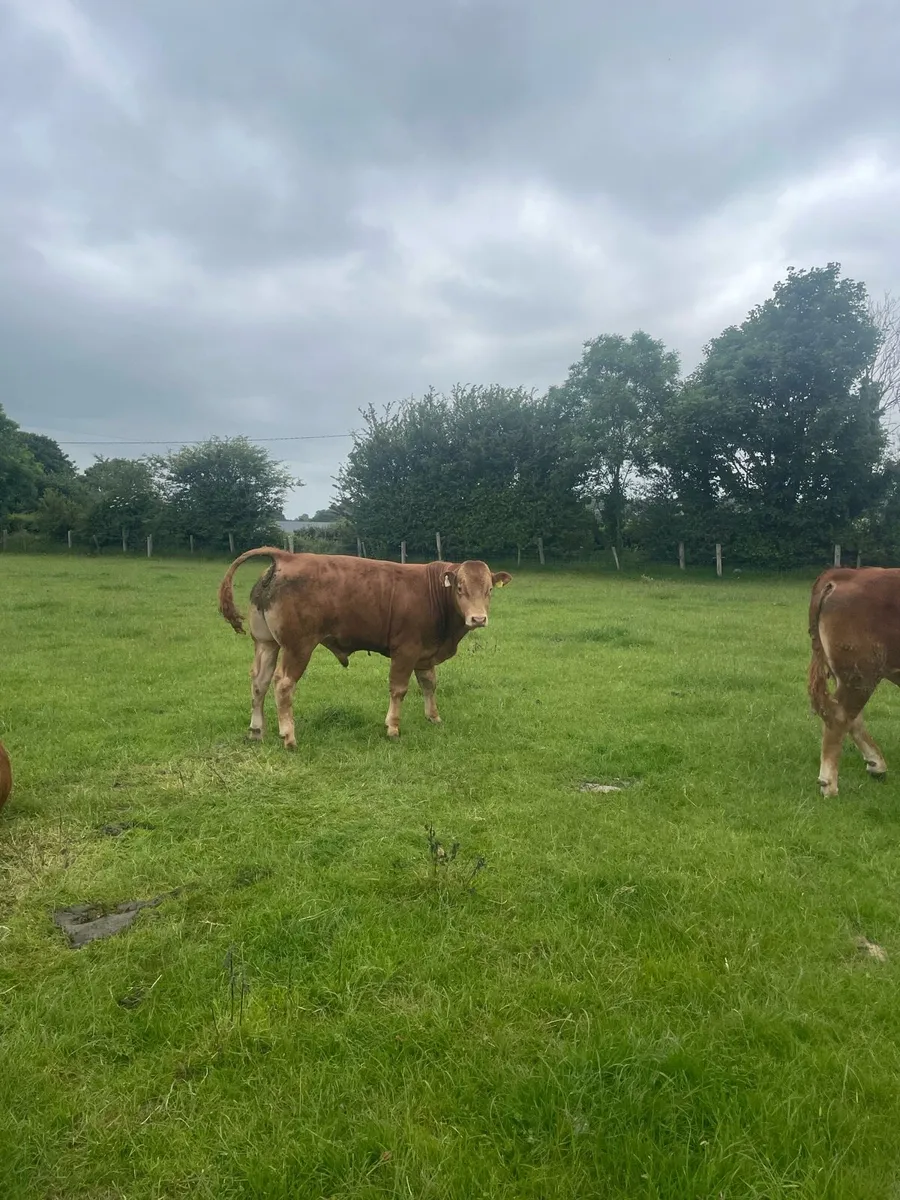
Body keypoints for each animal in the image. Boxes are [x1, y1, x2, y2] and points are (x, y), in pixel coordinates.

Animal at [218, 548, 513, 746]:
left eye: (489, 590)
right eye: (460, 588)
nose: (478, 619)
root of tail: (286, 556)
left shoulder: (425, 654)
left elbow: (429, 685)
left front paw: (433, 717)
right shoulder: (406, 650)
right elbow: (399, 689)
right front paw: (392, 728)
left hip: (266, 643)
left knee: (260, 682)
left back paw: (257, 731)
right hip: (298, 646)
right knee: (283, 684)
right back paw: (288, 736)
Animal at [808, 566, 900, 797]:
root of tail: (845, 573)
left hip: (850, 676)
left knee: (849, 716)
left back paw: (876, 765)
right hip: (861, 672)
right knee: (839, 716)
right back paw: (829, 785)